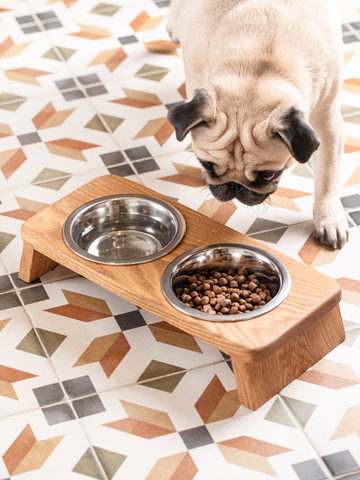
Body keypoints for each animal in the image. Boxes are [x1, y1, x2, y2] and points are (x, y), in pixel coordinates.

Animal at [167, 0, 350, 248]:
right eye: (207, 165)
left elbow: (327, 175)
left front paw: (330, 219)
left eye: (269, 176)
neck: (261, 65)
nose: (234, 186)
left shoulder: (326, 118)